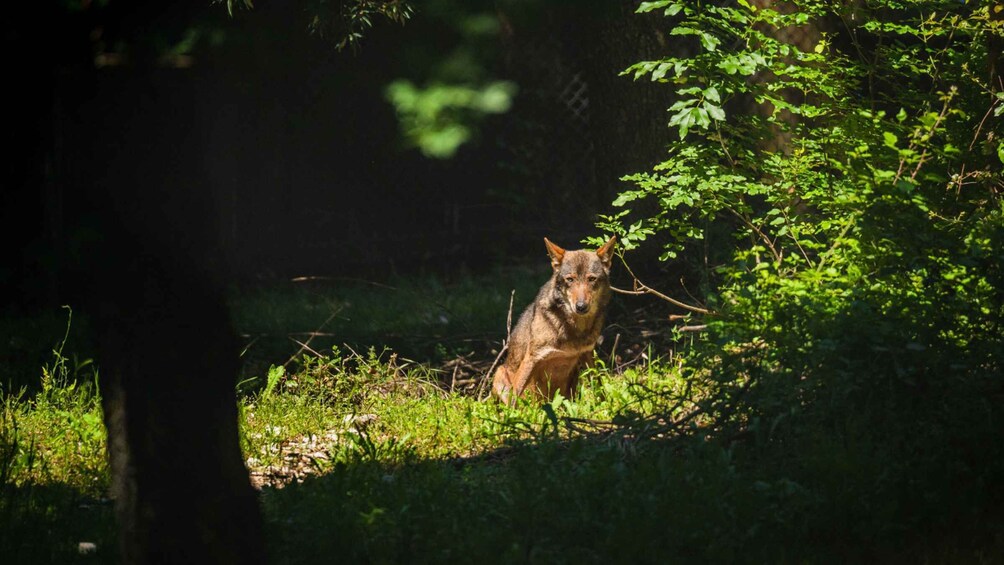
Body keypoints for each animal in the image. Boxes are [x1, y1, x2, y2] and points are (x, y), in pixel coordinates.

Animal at [492, 236, 616, 404]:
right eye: (570, 279)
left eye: (591, 279)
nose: (581, 306)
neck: (574, 329)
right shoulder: (532, 358)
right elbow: (514, 398)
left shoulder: (587, 353)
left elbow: (599, 385)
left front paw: (606, 406)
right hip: (499, 372)